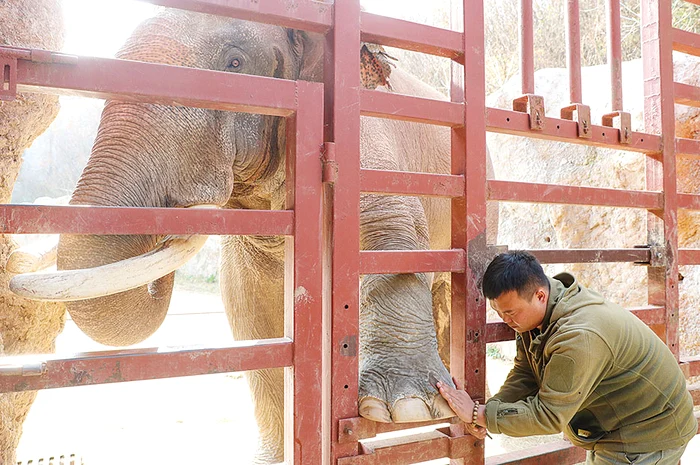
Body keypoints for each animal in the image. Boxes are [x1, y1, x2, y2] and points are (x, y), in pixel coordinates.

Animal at [10, 9, 497, 463]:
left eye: (235, 63)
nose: (171, 214)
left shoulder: (367, 141)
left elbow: (391, 228)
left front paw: (405, 408)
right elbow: (250, 308)